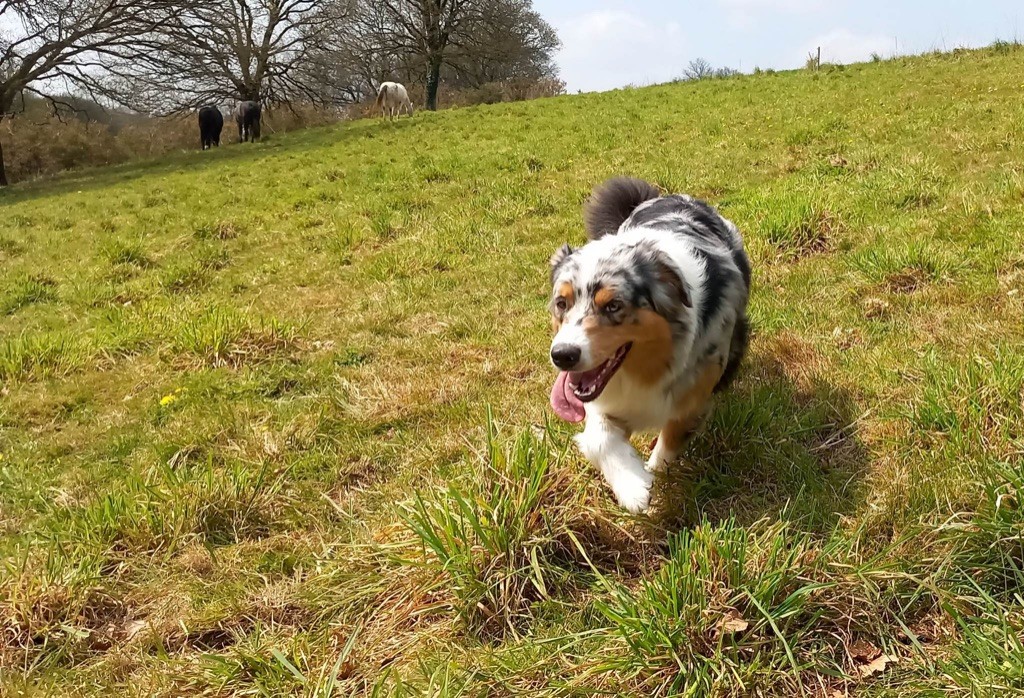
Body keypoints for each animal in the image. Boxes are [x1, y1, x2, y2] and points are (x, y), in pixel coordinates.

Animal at [548, 175, 749, 511]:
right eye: (561, 303)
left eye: (613, 306)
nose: (562, 355)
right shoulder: (605, 402)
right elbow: (599, 438)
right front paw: (632, 485)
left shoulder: (692, 398)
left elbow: (668, 444)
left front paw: (651, 478)